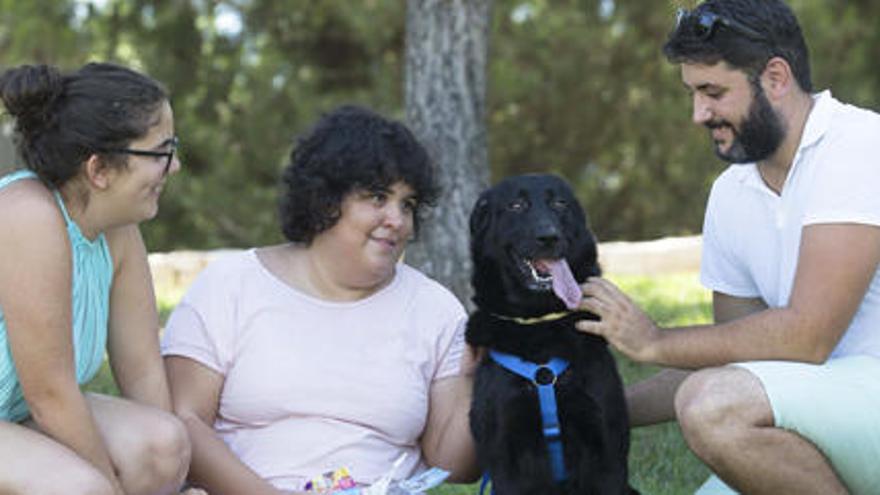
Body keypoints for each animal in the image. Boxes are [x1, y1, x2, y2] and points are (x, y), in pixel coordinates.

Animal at [464, 174, 636, 495]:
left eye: (559, 203)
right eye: (516, 205)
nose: (549, 237)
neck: (539, 324)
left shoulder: (606, 453)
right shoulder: (506, 460)